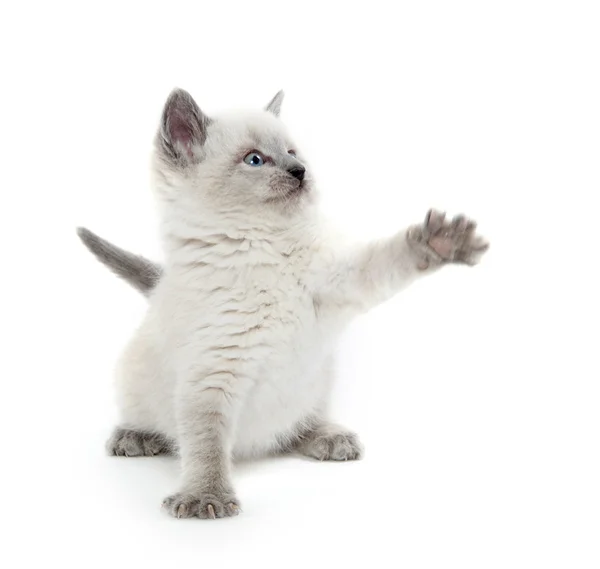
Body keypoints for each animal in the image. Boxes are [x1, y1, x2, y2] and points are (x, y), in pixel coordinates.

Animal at [78, 89, 488, 520]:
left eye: (292, 152)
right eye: (255, 159)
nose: (300, 170)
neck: (264, 247)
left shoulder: (341, 282)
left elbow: (385, 259)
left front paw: (441, 241)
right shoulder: (212, 372)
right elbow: (206, 444)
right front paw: (206, 497)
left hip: (313, 386)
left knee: (294, 429)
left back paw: (329, 438)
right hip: (135, 379)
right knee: (149, 420)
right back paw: (135, 436)